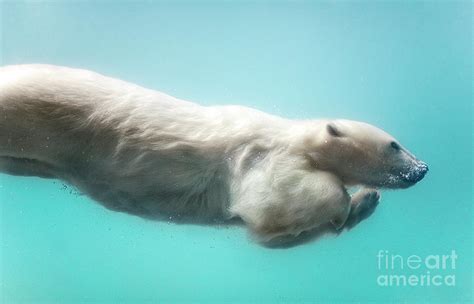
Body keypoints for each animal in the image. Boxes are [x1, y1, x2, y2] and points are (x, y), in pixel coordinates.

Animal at [0, 65, 430, 246]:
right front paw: (348, 199)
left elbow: (271, 233)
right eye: (394, 144)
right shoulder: (264, 155)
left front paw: (366, 201)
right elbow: (273, 201)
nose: (422, 168)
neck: (296, 137)